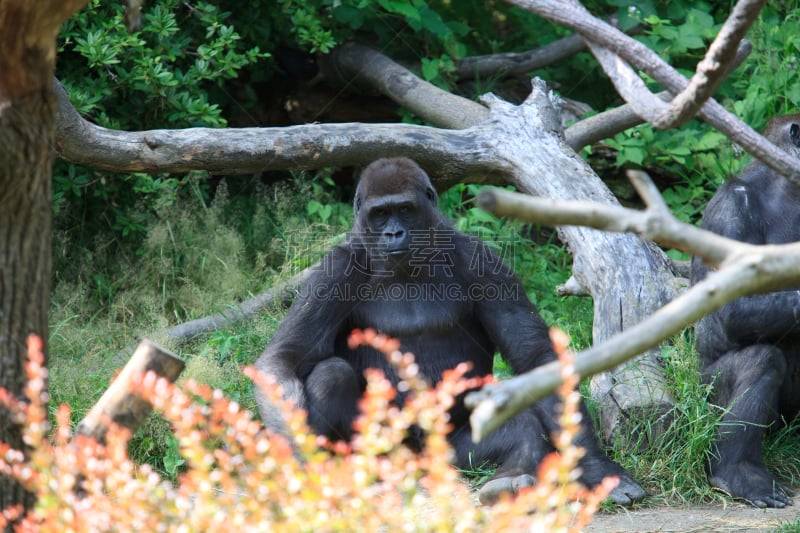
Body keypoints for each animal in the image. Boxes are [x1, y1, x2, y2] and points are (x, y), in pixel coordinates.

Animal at [256, 155, 644, 502]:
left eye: (405, 209)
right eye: (379, 214)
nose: (394, 232)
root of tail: (416, 463)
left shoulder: (485, 264)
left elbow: (534, 357)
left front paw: (595, 466)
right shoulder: (333, 272)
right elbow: (284, 360)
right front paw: (298, 461)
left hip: (449, 454)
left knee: (520, 420)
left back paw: (510, 480)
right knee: (331, 374)